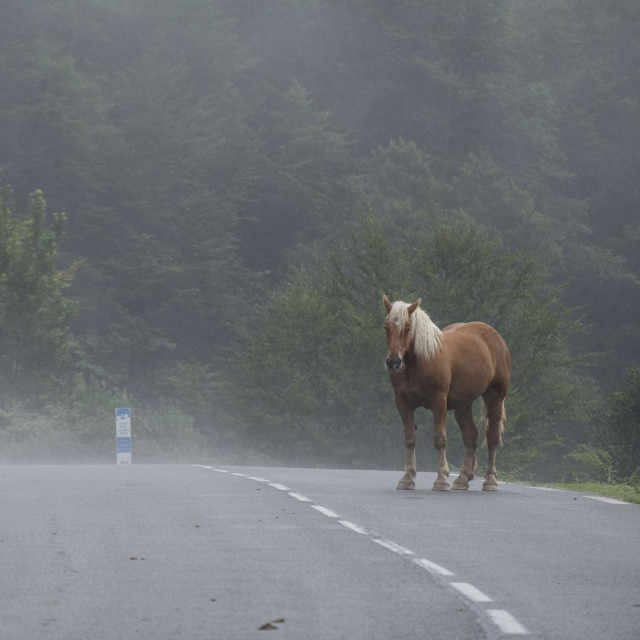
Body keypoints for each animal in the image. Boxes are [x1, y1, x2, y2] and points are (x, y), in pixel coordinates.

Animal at [382, 296, 512, 490]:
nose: (393, 362)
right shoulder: (403, 403)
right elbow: (410, 439)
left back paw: (490, 481)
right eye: (386, 327)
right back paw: (462, 479)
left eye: (407, 328)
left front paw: (441, 479)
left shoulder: (439, 403)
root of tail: (497, 338)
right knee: (470, 435)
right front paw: (407, 478)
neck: (421, 361)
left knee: (492, 437)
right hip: (463, 405)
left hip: (495, 396)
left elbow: (440, 439)